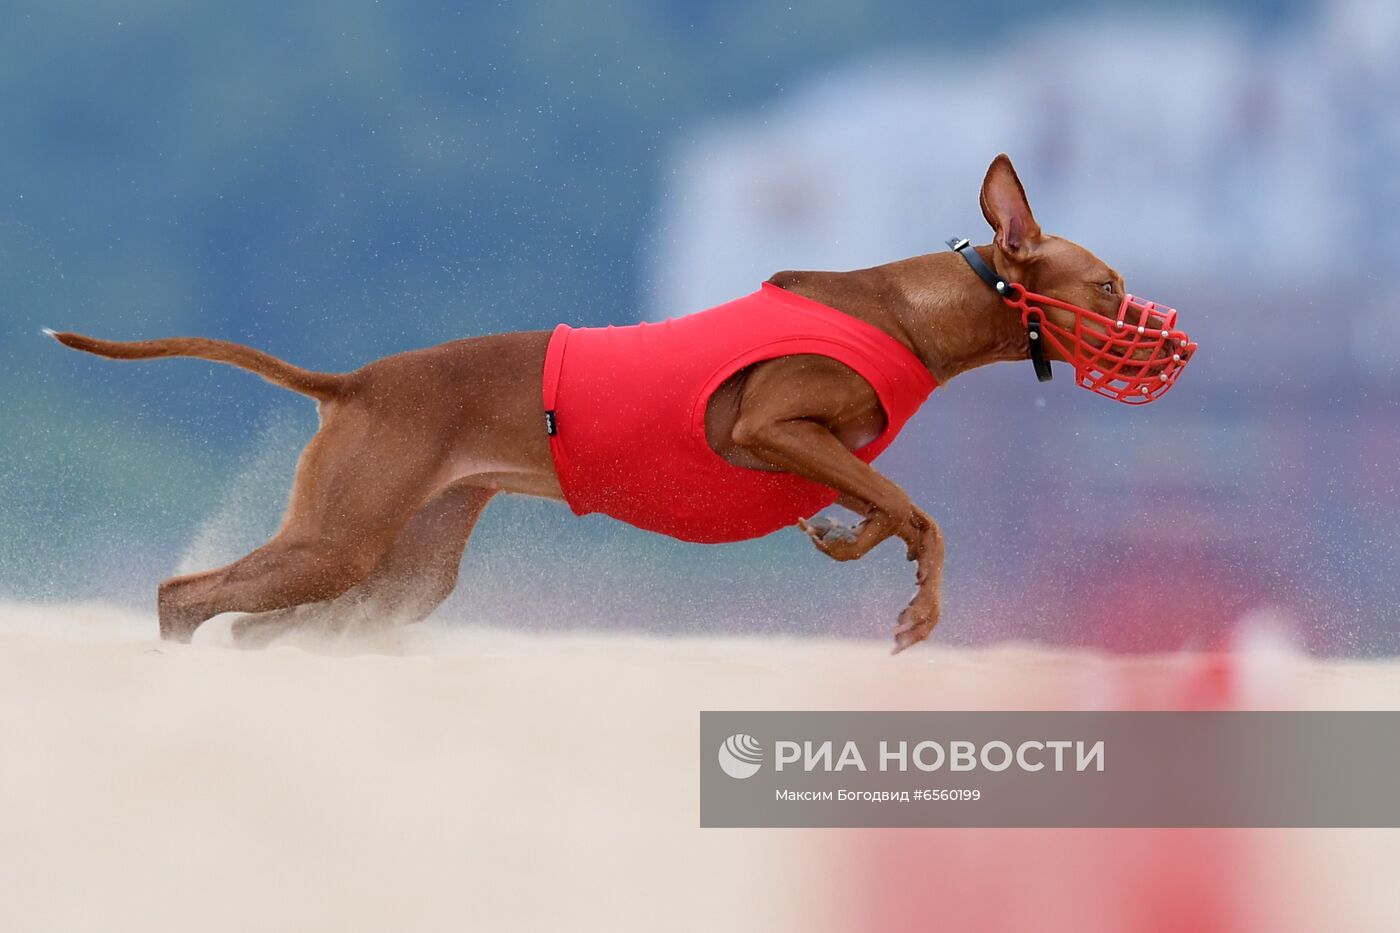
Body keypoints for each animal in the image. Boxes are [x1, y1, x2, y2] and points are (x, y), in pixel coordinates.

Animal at [49, 154, 1198, 647]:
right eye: (1105, 287)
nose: (1168, 342)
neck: (908, 310)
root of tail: (361, 379)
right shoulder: (771, 424)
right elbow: (922, 510)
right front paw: (918, 606)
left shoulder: (816, 449)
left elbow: (887, 508)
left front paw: (847, 542)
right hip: (340, 542)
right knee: (184, 598)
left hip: (400, 573)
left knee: (256, 628)